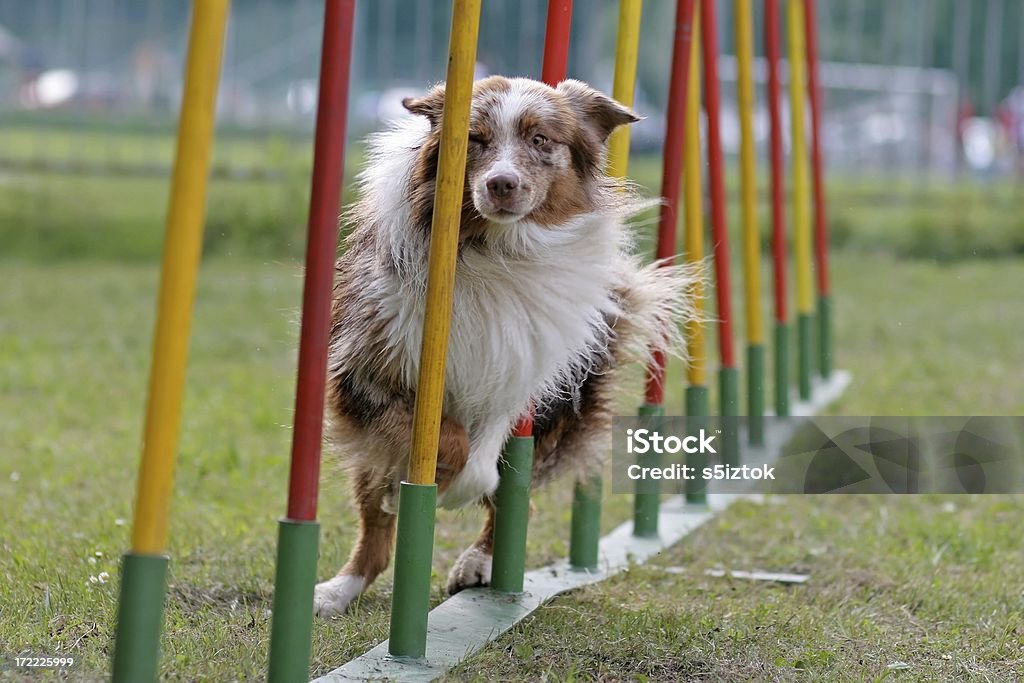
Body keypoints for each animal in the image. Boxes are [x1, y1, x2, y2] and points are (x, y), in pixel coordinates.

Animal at [311, 77, 696, 618]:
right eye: (474, 139)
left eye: (540, 140)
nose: (501, 184)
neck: (494, 247)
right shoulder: (370, 372)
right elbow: (446, 442)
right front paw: (430, 481)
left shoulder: (513, 377)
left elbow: (481, 463)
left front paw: (457, 491)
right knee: (376, 524)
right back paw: (336, 589)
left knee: (517, 498)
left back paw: (479, 561)